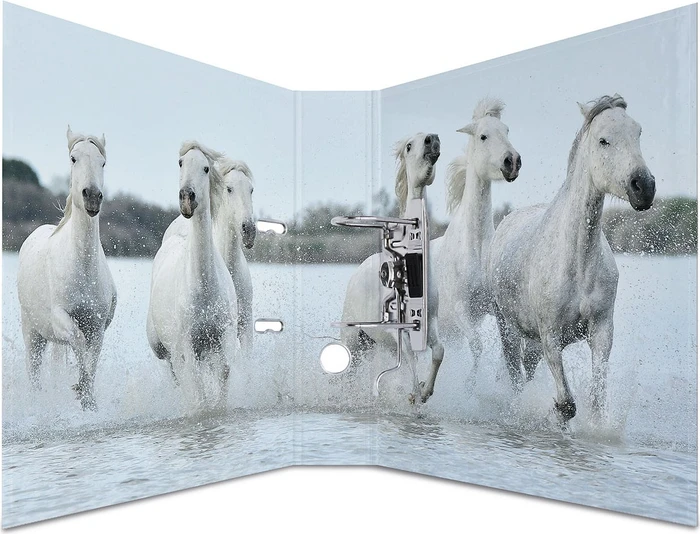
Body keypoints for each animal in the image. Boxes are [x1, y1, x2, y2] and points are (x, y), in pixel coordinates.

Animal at [17, 126, 117, 411]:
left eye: (103, 162)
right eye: (74, 158)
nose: (92, 196)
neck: (82, 267)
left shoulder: (97, 325)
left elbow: (91, 358)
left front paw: (87, 397)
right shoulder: (61, 317)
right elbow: (79, 342)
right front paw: (80, 388)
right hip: (33, 333)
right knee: (34, 373)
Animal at [146, 142, 239, 407]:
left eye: (206, 168)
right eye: (180, 163)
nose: (187, 198)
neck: (204, 288)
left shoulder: (222, 336)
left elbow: (224, 371)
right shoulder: (187, 345)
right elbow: (196, 385)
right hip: (164, 348)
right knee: (176, 374)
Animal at [340, 132, 442, 403]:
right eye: (409, 146)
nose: (433, 140)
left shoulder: (431, 321)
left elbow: (438, 352)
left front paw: (425, 391)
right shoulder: (400, 332)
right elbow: (411, 359)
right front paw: (415, 396)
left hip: (373, 344)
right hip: (354, 340)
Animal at [433, 98, 521, 394]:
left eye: (507, 130)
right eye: (483, 136)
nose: (512, 161)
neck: (476, 249)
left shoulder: (495, 307)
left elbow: (508, 346)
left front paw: (499, 378)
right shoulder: (463, 311)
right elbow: (478, 346)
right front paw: (470, 385)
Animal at [487, 94, 655, 425]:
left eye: (638, 132)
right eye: (603, 140)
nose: (643, 186)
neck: (578, 263)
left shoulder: (601, 331)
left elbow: (596, 399)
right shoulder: (550, 335)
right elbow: (566, 405)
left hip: (531, 343)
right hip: (509, 330)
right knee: (515, 377)